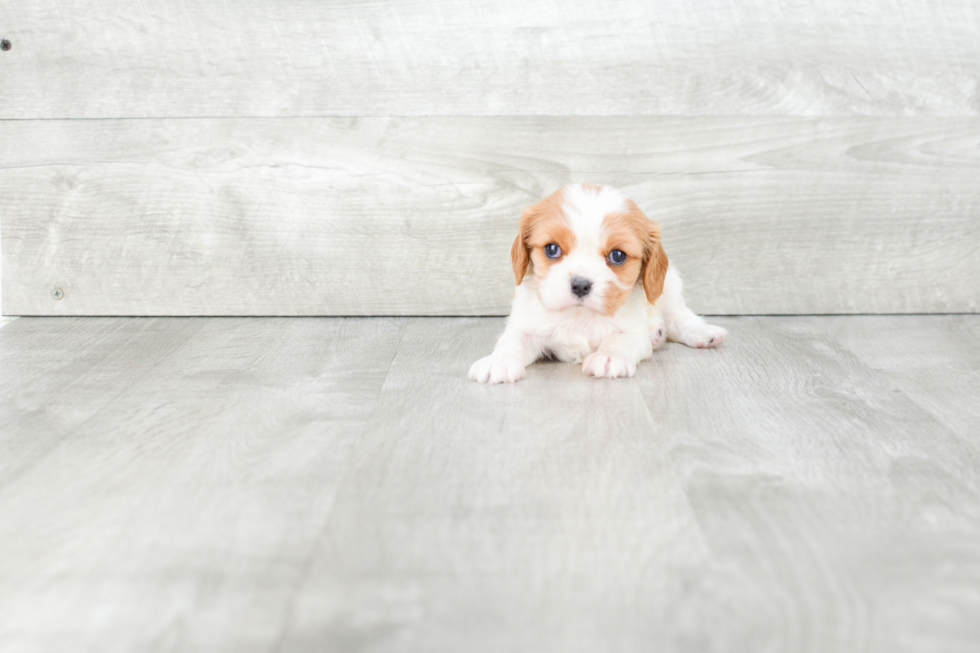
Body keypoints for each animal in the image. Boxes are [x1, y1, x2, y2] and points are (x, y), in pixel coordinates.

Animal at [468, 181, 728, 384]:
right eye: (552, 249)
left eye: (618, 255)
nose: (581, 285)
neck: (580, 316)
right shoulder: (526, 326)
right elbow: (511, 342)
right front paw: (498, 362)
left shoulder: (635, 332)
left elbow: (619, 338)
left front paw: (609, 357)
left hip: (669, 286)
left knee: (679, 317)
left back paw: (702, 332)